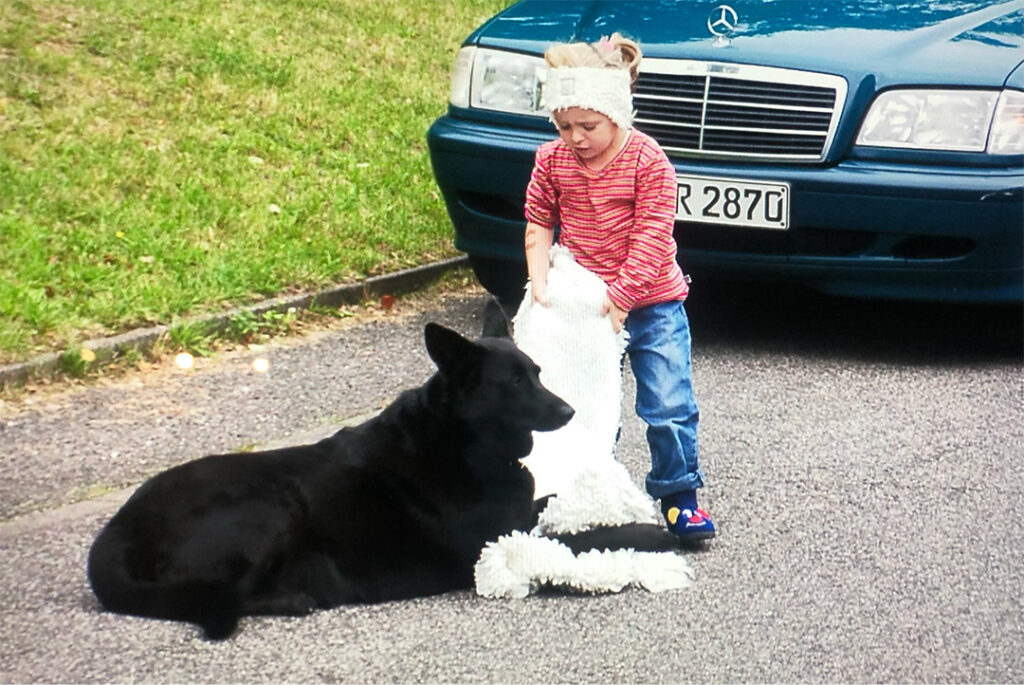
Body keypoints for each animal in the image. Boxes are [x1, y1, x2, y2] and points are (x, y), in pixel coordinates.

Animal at [90, 301, 679, 638]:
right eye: (514, 383)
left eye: (536, 372)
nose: (568, 411)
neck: (464, 442)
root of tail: (115, 531)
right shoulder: (495, 538)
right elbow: (589, 538)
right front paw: (656, 532)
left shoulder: (520, 511)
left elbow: (558, 509)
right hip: (269, 507)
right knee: (217, 597)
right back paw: (293, 597)